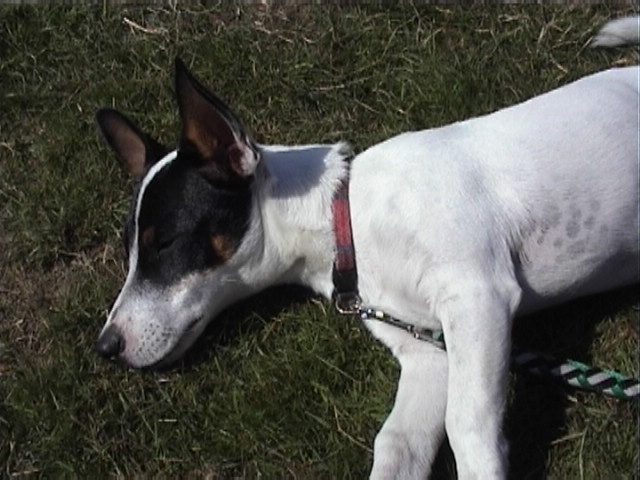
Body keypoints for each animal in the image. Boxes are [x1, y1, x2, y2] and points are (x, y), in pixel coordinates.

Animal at [95, 17, 639, 480]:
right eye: (130, 251)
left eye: (166, 242)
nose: (105, 347)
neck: (349, 216)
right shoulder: (427, 353)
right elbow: (396, 443)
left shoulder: (478, 296)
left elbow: (468, 426)